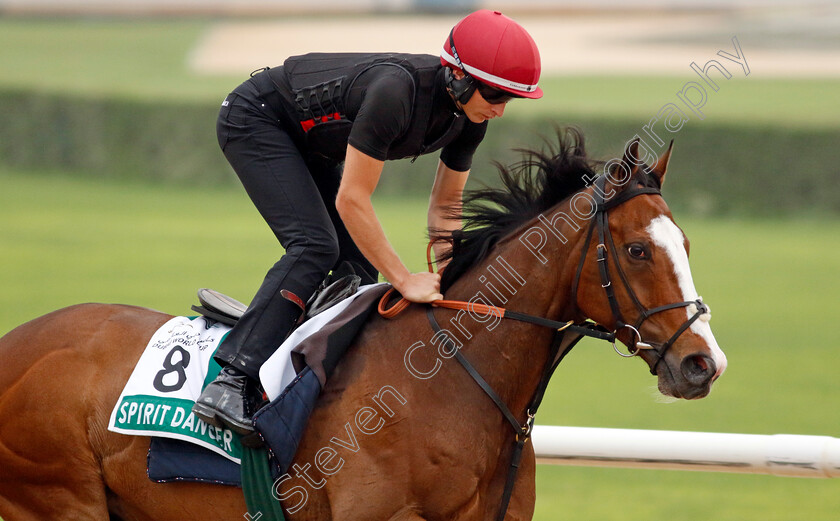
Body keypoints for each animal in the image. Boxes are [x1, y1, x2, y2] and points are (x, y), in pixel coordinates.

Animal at [0, 131, 720, 520]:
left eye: (686, 243)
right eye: (637, 250)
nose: (702, 363)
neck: (453, 384)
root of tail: (15, 344)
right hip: (56, 497)